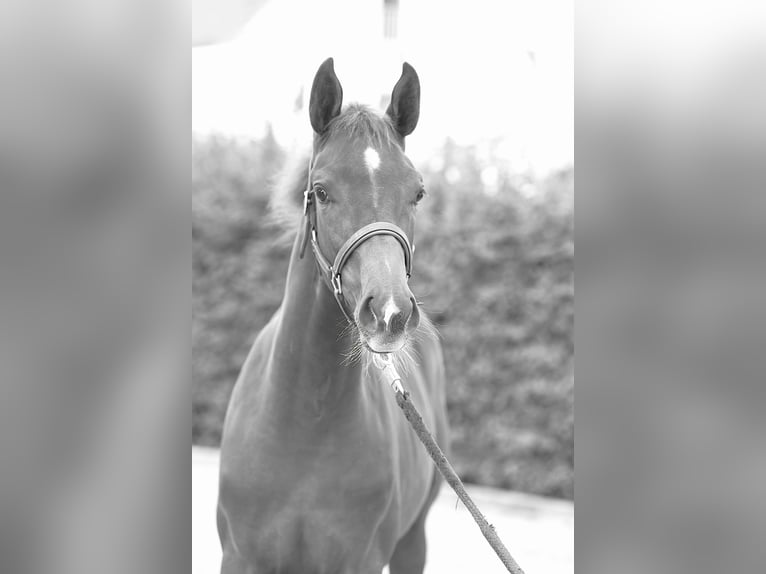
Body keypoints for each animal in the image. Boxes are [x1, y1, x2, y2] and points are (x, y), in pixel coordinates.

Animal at [217, 58, 449, 574]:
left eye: (418, 193)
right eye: (321, 192)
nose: (390, 311)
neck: (306, 423)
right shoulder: (240, 557)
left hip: (413, 542)